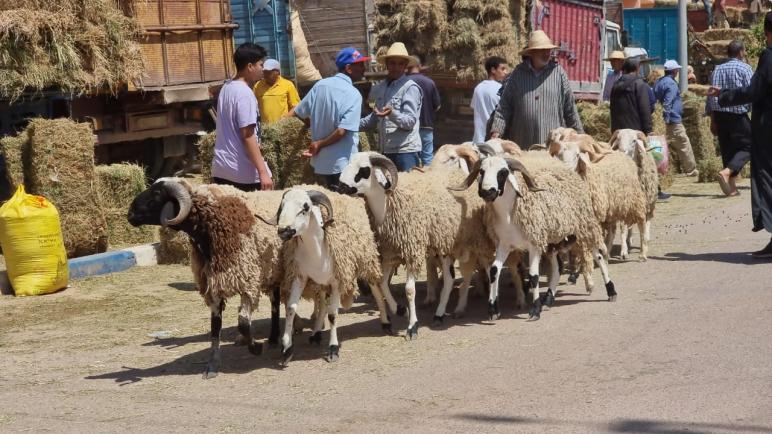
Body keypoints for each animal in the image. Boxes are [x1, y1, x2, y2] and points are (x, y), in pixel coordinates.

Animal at [128, 178, 288, 378]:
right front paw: (213, 365)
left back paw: (273, 338)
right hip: (273, 270)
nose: (130, 214)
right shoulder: (214, 284)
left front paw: (255, 348)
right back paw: (272, 338)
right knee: (275, 301)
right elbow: (215, 327)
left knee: (275, 303)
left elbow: (243, 322)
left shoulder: (247, 280)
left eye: (156, 194)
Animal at [262, 186, 382, 362]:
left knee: (377, 289)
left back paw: (387, 321)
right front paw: (287, 349)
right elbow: (291, 308)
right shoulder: (299, 276)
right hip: (321, 283)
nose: (283, 230)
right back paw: (316, 334)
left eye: (305, 207)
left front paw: (333, 349)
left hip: (367, 262)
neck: (317, 250)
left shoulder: (338, 281)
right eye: (282, 206)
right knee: (323, 304)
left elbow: (333, 315)